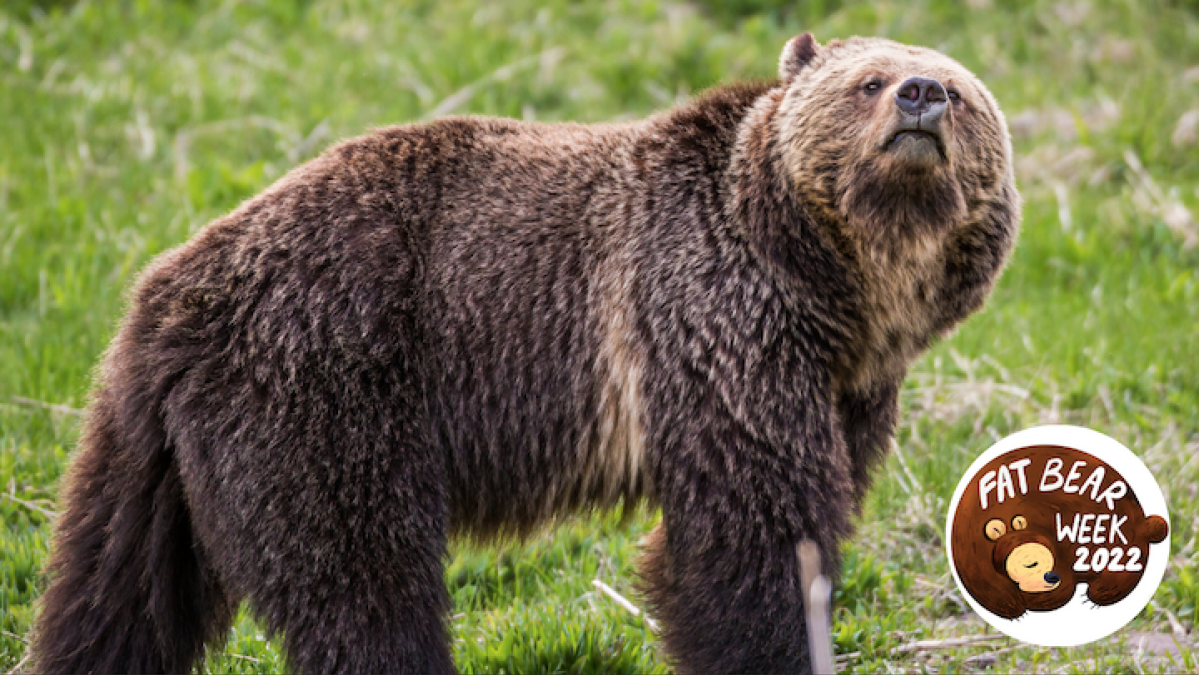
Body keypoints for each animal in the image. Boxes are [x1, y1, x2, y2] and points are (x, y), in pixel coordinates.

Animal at [32, 32, 1016, 675]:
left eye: (958, 89)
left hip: (148, 453)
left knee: (116, 593)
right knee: (361, 581)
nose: (920, 96)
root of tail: (171, 284)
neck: (837, 284)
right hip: (326, 387)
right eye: (869, 80)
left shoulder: (844, 387)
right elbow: (750, 532)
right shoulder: (715, 324)